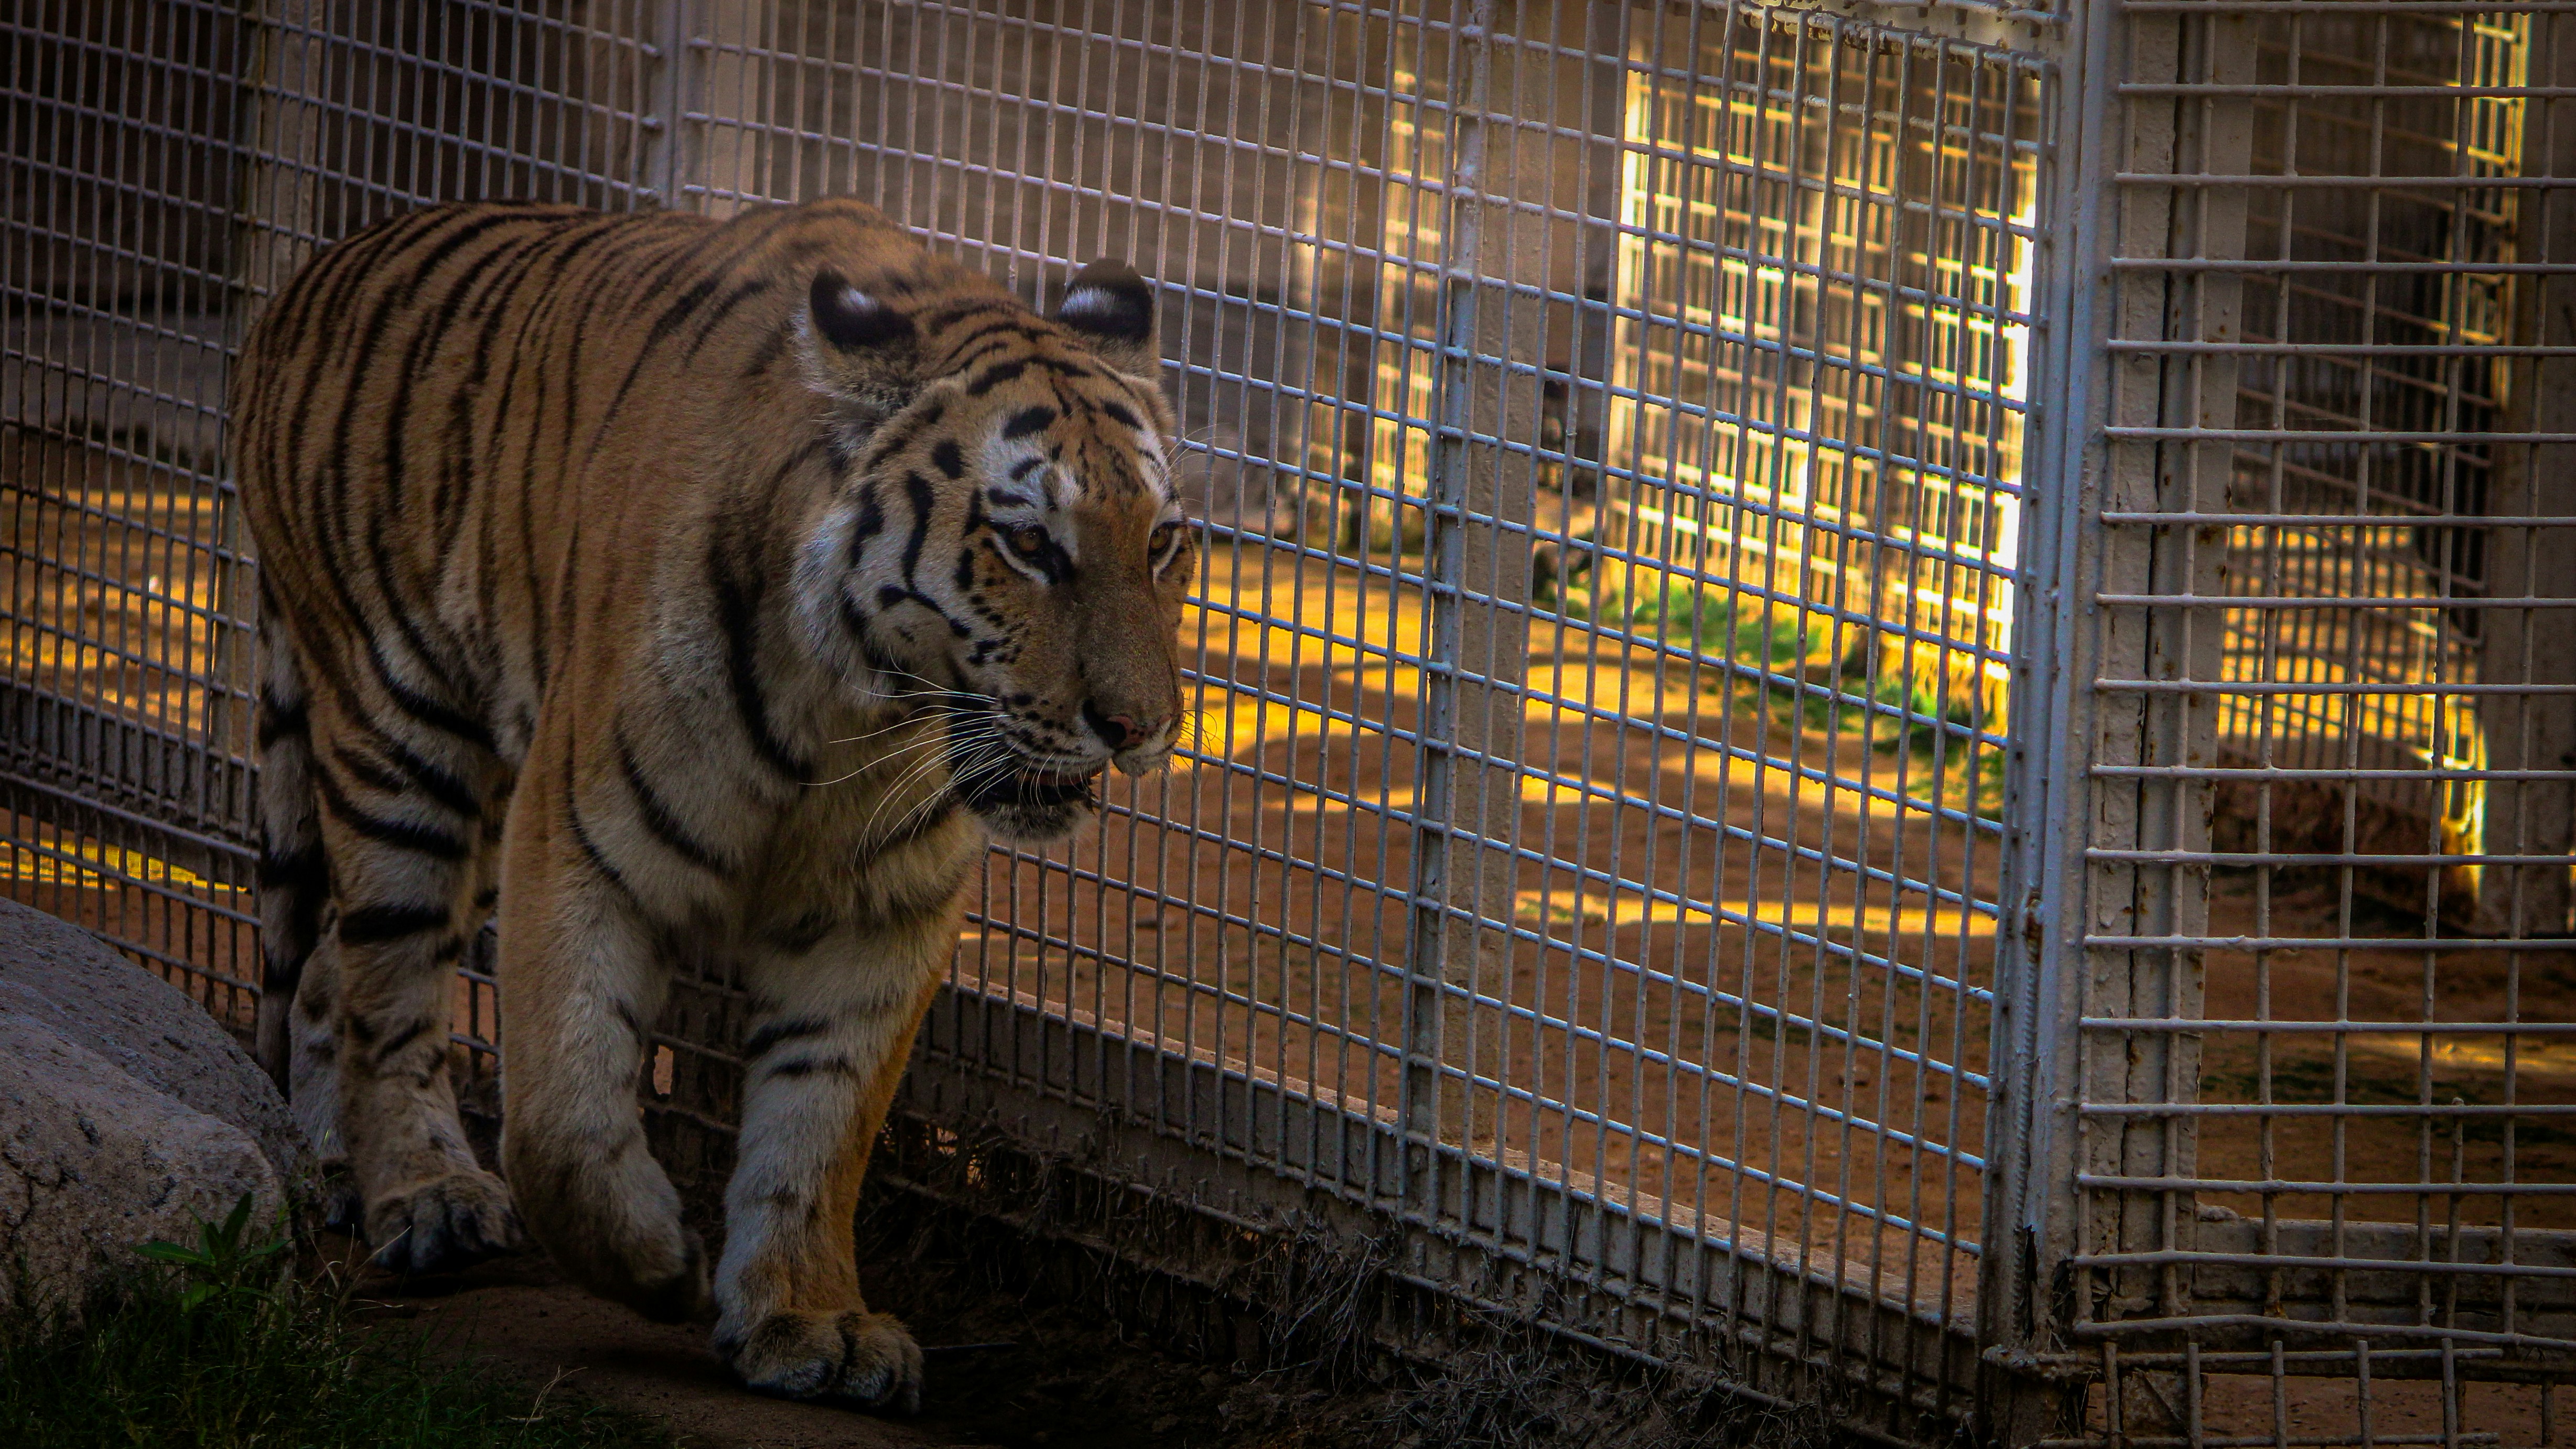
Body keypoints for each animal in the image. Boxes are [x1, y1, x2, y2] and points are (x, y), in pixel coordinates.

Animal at [230, 196, 1193, 1411]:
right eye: (1028, 544)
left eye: (1160, 541)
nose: (1141, 726)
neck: (856, 713)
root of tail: (314, 269)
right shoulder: (580, 838)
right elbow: (560, 1115)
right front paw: (656, 1260)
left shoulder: (880, 910)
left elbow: (819, 1122)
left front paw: (809, 1317)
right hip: (404, 739)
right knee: (385, 981)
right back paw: (425, 1192)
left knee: (326, 966)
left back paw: (336, 1163)